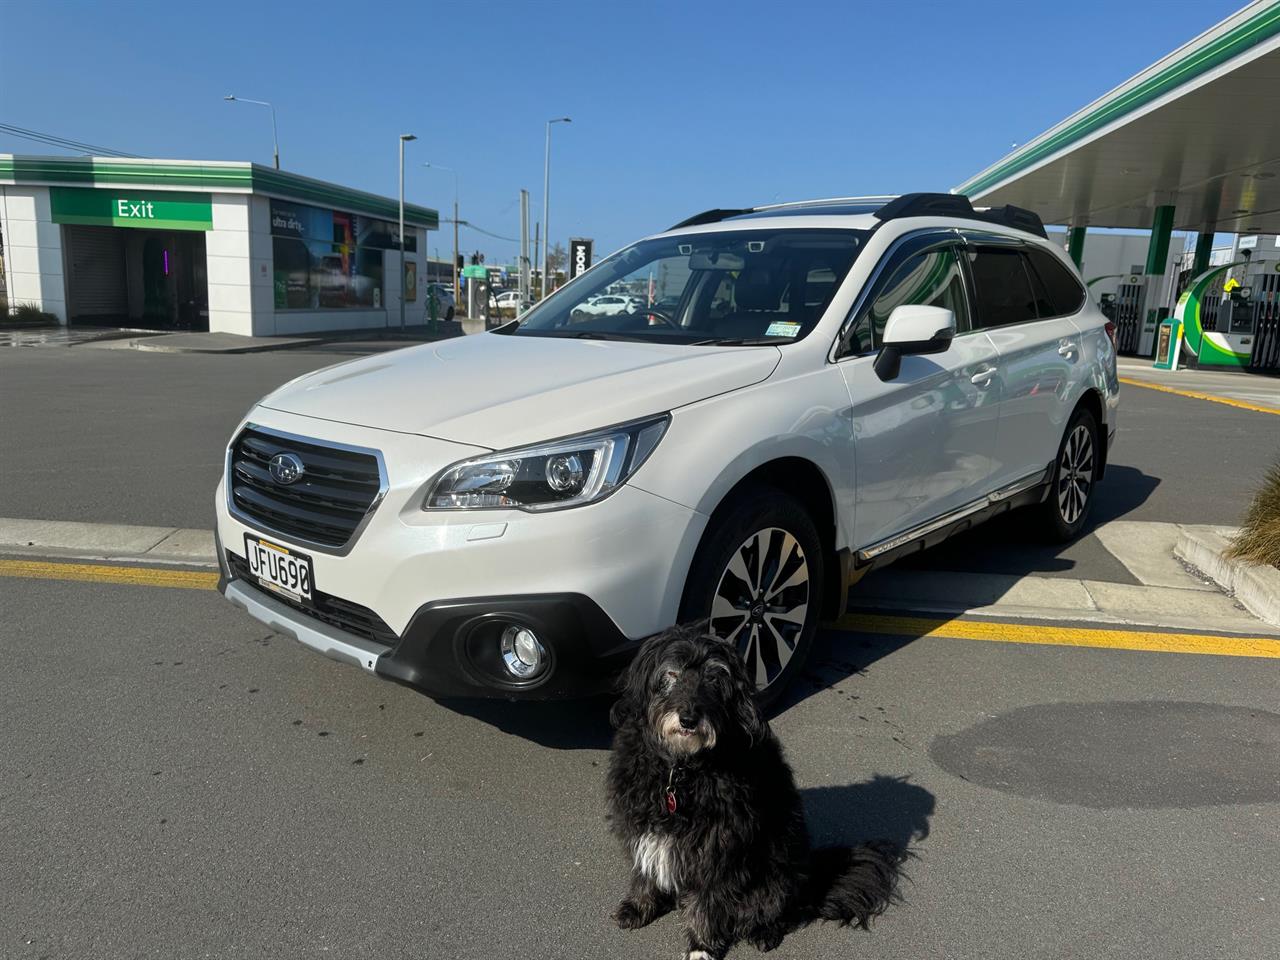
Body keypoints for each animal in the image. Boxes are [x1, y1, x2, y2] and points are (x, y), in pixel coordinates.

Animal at [606, 627, 901, 957]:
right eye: (671, 673)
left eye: (714, 679)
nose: (689, 719)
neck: (680, 771)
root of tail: (814, 878)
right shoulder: (642, 824)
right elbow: (644, 871)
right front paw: (638, 907)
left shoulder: (717, 847)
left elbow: (706, 901)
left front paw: (701, 944)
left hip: (775, 871)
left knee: (776, 908)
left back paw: (764, 931)